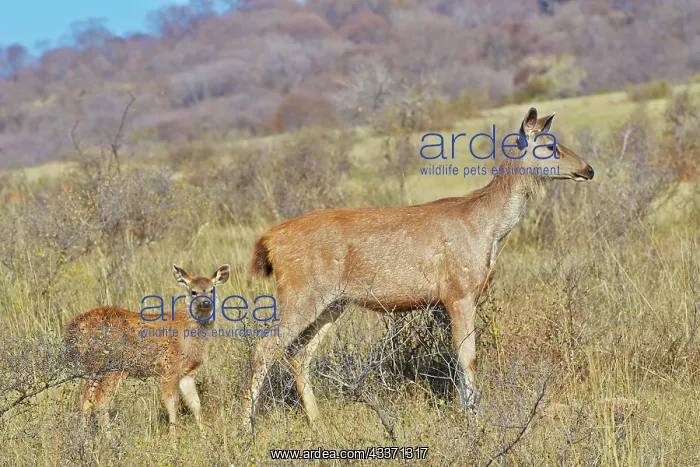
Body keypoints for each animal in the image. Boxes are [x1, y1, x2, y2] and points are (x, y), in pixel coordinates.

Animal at [63, 264, 231, 436]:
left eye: (212, 290)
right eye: (193, 291)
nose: (205, 303)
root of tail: (78, 324)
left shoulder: (186, 372)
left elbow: (195, 404)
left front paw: (204, 435)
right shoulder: (169, 368)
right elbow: (172, 404)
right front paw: (173, 438)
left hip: (93, 367)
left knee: (85, 400)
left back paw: (83, 436)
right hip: (111, 365)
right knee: (100, 401)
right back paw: (109, 438)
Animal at [244, 107, 594, 432]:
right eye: (549, 146)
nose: (588, 169)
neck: (489, 230)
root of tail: (268, 242)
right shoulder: (458, 292)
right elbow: (468, 357)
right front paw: (472, 420)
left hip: (334, 302)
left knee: (299, 354)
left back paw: (318, 422)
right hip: (301, 292)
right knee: (265, 347)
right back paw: (248, 426)